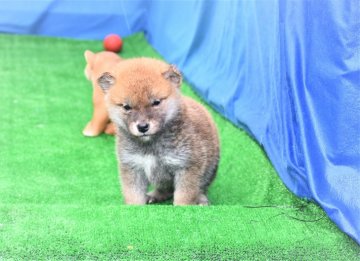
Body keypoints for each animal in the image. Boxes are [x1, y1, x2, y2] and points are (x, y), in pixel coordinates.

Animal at [97, 57, 219, 205]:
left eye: (156, 102)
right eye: (126, 107)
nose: (143, 127)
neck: (151, 146)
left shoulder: (187, 167)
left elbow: (184, 197)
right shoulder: (132, 167)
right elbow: (134, 197)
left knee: (200, 188)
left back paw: (201, 199)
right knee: (165, 190)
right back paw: (153, 196)